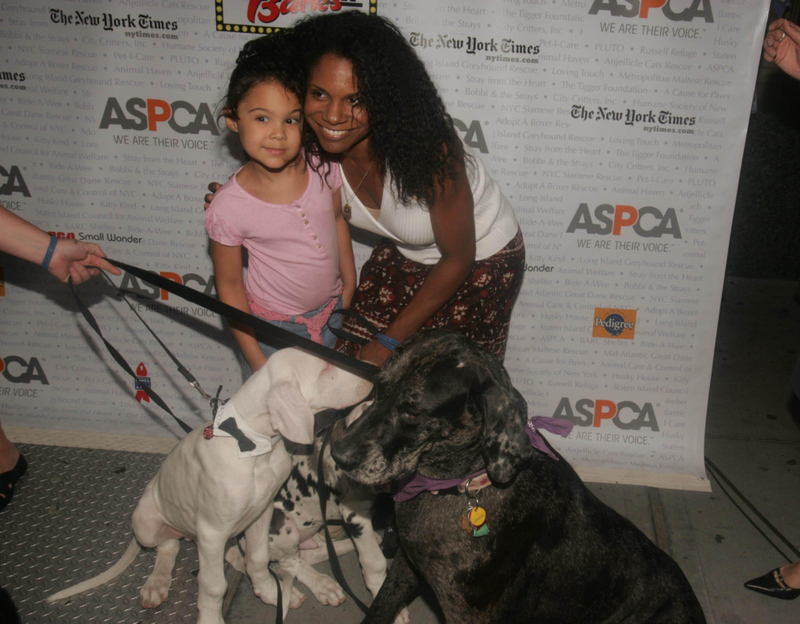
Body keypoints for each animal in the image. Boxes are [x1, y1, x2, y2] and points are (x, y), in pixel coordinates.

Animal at [48, 348, 374, 624]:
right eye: (326, 368)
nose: (371, 373)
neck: (252, 446)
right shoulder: (211, 531)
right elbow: (214, 584)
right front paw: (211, 617)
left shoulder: (262, 513)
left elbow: (258, 559)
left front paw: (271, 593)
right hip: (148, 523)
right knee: (167, 546)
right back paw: (156, 582)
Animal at [332, 330, 708, 620]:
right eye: (378, 389)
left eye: (411, 412)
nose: (338, 454)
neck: (463, 485)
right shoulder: (405, 569)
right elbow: (379, 608)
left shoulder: (465, 611)